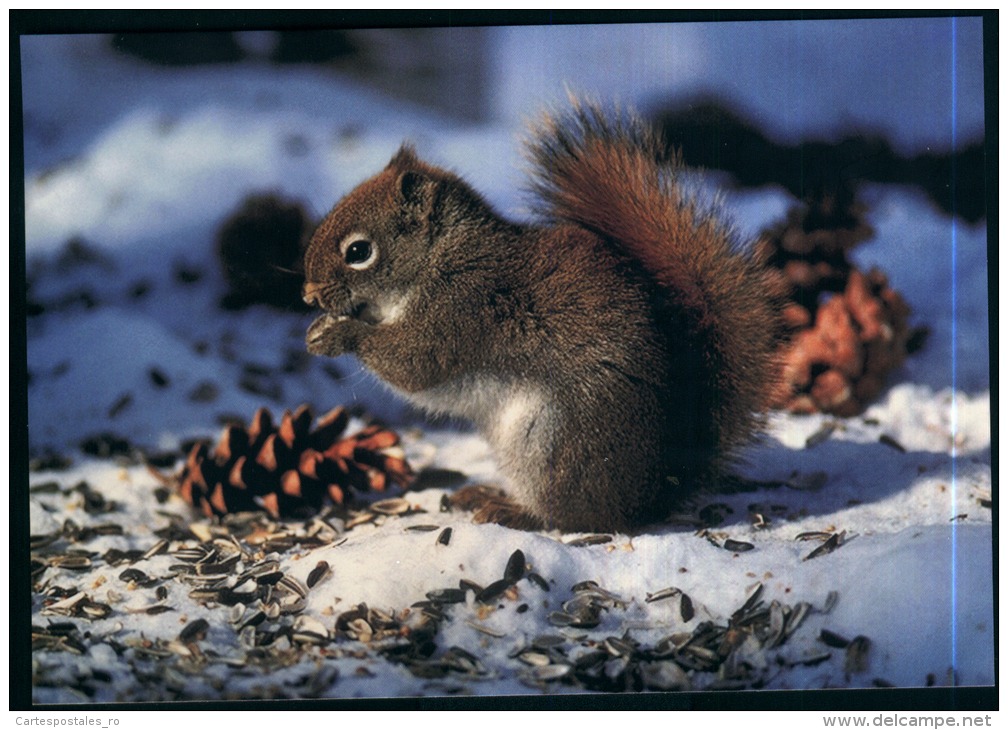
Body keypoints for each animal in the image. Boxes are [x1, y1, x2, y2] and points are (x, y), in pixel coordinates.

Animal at [298, 99, 778, 532]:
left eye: (359, 251)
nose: (307, 295)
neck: (441, 259)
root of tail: (655, 493)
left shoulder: (460, 309)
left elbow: (412, 364)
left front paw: (339, 335)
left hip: (553, 444)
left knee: (569, 517)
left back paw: (512, 510)